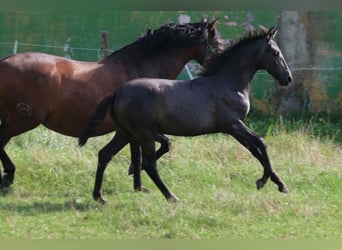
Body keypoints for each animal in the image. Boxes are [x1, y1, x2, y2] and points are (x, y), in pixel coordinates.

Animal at [0, 19, 222, 188]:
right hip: (23, 121)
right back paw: (8, 176)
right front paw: (135, 173)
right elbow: (160, 146)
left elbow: (153, 148)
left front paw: (136, 178)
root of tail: (4, 64)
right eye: (218, 45)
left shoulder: (134, 130)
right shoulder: (142, 128)